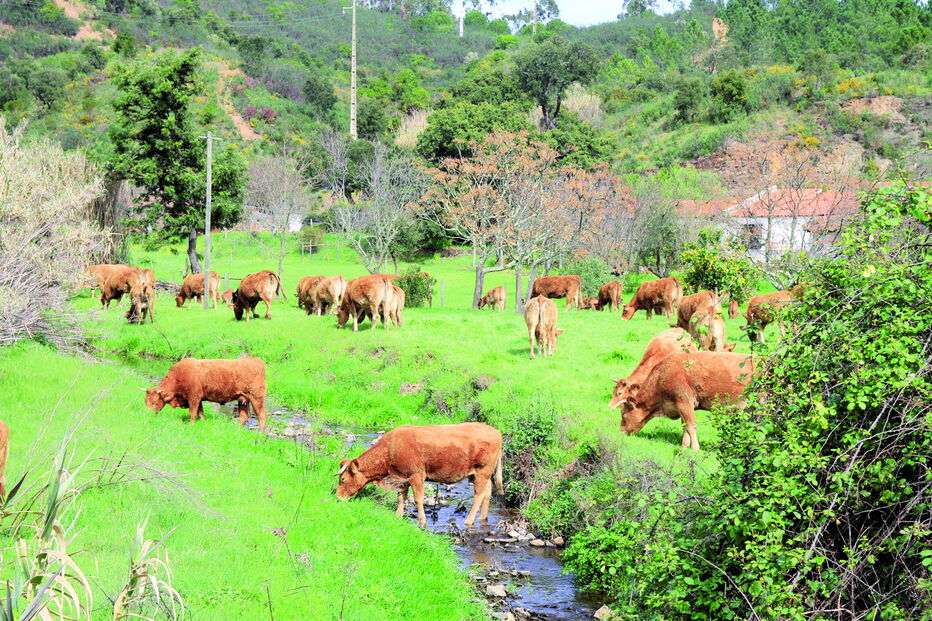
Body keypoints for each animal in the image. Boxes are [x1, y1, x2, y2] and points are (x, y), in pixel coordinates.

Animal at [335, 422, 504, 529]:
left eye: (342, 479)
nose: (337, 498)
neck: (390, 448)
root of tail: (495, 431)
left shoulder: (416, 476)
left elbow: (418, 499)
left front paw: (422, 522)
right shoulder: (401, 477)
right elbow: (401, 497)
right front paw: (398, 515)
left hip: (482, 472)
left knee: (479, 495)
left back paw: (469, 521)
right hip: (482, 475)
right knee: (488, 493)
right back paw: (482, 518)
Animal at [612, 351, 754, 450]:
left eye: (623, 414)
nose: (620, 432)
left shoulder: (684, 402)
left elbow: (691, 426)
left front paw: (695, 448)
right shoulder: (680, 406)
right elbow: (685, 426)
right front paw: (684, 446)